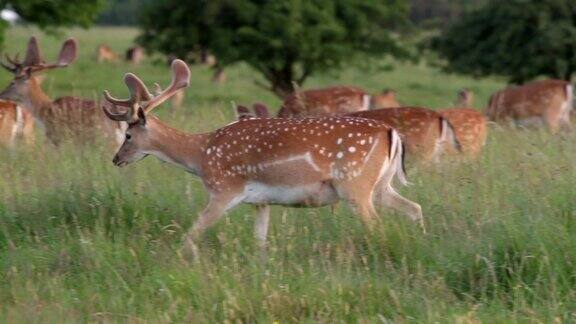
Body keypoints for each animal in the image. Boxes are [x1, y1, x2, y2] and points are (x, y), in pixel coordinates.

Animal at [102, 59, 424, 254]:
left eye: (128, 135)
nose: (116, 159)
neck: (201, 154)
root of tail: (392, 133)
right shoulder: (261, 201)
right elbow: (260, 242)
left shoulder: (224, 190)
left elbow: (191, 234)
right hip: (380, 185)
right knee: (415, 208)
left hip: (355, 185)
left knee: (377, 225)